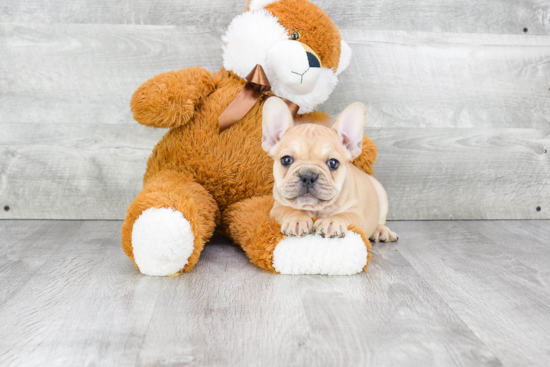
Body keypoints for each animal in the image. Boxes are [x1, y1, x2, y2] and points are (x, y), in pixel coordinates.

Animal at [260, 96, 398, 243]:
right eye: (286, 160)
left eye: (333, 163)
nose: (308, 176)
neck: (316, 209)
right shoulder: (277, 208)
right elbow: (289, 210)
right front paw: (297, 220)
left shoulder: (355, 213)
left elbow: (343, 215)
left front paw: (332, 222)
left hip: (381, 195)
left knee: (380, 221)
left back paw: (381, 231)